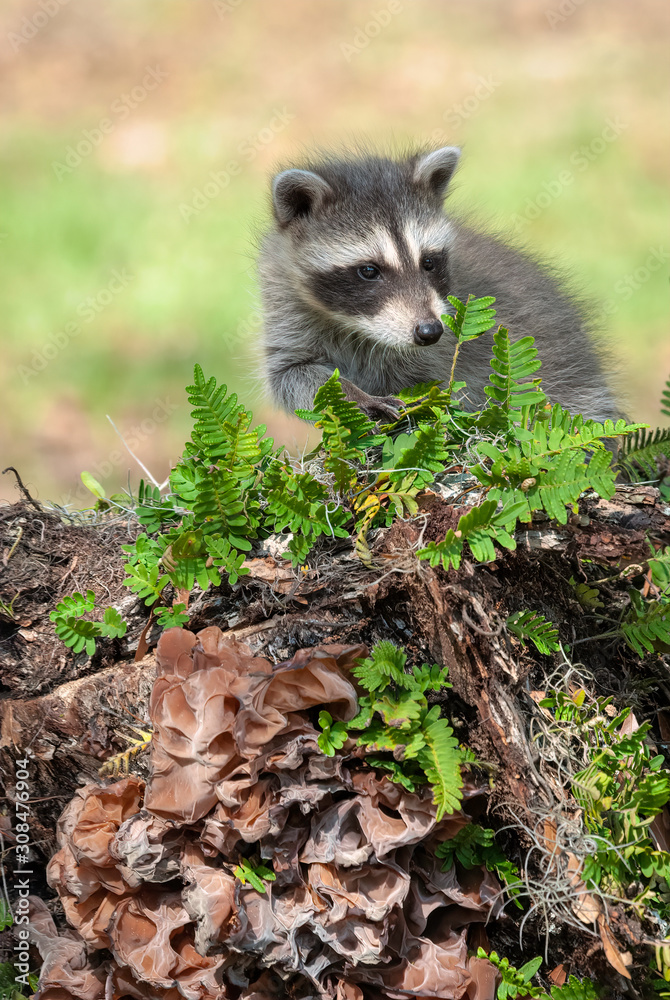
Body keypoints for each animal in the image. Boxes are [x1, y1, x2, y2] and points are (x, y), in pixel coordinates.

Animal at [258, 146, 619, 422]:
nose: (430, 331)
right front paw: (355, 395)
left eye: (428, 263)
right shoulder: (287, 306)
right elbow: (293, 375)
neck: (358, 329)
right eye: (369, 271)